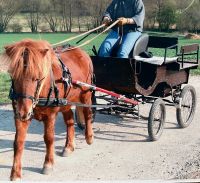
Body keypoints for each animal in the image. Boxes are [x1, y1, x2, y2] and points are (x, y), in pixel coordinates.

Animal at [3, 39, 94, 181]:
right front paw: (15, 173)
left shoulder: (50, 115)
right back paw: (68, 146)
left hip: (86, 94)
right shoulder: (20, 115)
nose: (23, 112)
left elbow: (49, 138)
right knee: (69, 121)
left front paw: (48, 164)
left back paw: (89, 136)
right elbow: (18, 142)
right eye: (13, 76)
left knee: (87, 113)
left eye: (37, 77)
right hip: (65, 102)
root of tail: (81, 52)